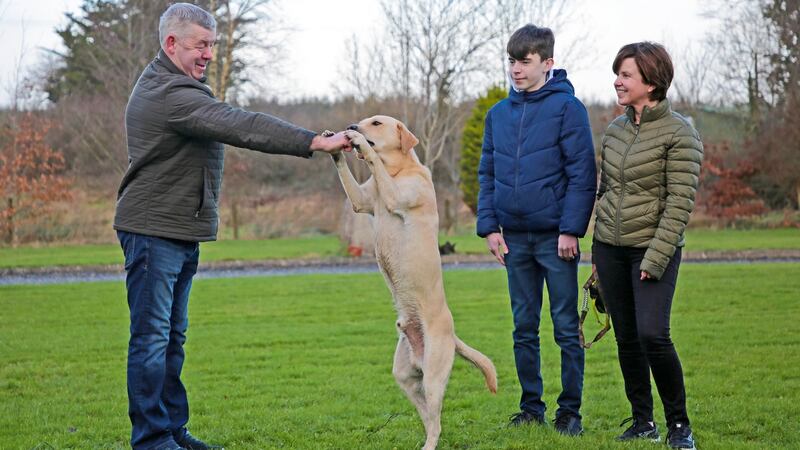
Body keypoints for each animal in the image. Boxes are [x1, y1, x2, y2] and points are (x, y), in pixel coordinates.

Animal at [328, 117, 496, 450]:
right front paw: (336, 145)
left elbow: (375, 161)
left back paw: (431, 444)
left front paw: (361, 143)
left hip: (433, 375)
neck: (398, 169)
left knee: (436, 420)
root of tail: (452, 335)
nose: (353, 125)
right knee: (428, 415)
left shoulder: (397, 194)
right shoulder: (362, 201)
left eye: (376, 122)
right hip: (405, 375)